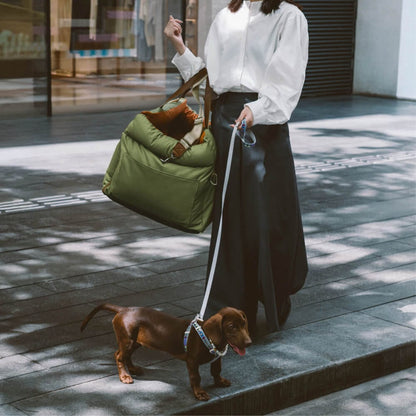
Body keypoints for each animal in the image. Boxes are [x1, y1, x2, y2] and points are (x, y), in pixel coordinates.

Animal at [80, 304, 252, 402]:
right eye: (231, 326)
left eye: (244, 324)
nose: (249, 343)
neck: (208, 337)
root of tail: (124, 310)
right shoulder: (192, 361)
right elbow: (196, 378)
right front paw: (199, 393)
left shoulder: (217, 358)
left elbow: (216, 370)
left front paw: (220, 381)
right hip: (128, 340)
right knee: (119, 356)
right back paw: (125, 376)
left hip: (136, 342)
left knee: (123, 354)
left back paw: (133, 369)